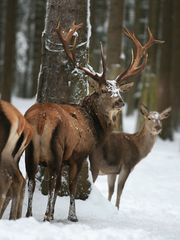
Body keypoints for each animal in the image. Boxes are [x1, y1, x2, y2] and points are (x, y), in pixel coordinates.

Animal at [24, 22, 162, 221]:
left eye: (119, 90)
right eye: (104, 90)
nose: (120, 102)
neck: (95, 126)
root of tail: (42, 121)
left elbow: (58, 187)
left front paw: (58, 213)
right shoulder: (79, 154)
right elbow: (70, 186)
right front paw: (72, 216)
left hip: (29, 151)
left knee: (31, 181)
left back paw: (28, 215)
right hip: (56, 150)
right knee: (49, 183)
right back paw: (47, 216)